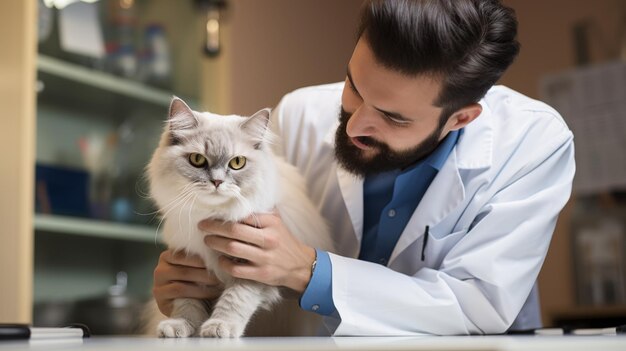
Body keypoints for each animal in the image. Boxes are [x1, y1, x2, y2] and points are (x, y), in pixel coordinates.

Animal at [146, 97, 332, 338]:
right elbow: (187, 303)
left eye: (237, 163)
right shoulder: (188, 266)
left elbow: (235, 300)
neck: (211, 215)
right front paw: (179, 326)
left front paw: (219, 327)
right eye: (197, 159)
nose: (217, 182)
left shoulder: (253, 269)